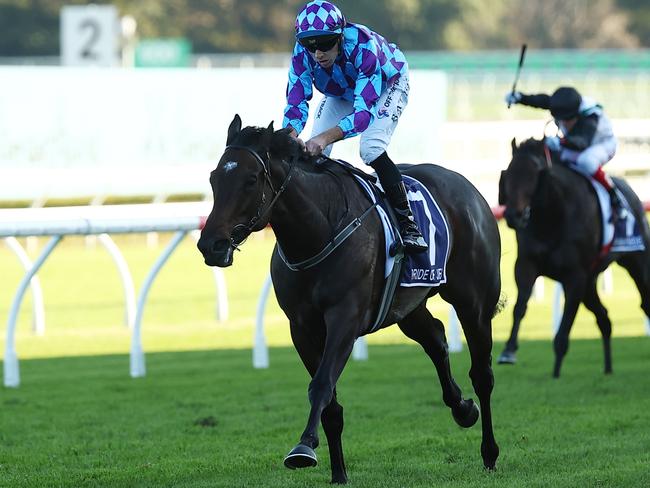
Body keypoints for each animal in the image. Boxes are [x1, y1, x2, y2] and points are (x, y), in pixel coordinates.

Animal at [197, 115, 502, 484]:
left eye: (251, 179)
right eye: (214, 177)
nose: (210, 245)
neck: (318, 231)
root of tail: (469, 189)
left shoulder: (345, 318)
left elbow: (321, 384)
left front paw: (303, 447)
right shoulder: (302, 328)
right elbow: (330, 404)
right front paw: (339, 474)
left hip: (474, 301)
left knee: (482, 373)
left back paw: (489, 452)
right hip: (407, 307)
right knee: (436, 338)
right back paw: (463, 408)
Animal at [496, 137, 648, 378]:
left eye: (533, 175)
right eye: (509, 174)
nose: (513, 216)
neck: (552, 217)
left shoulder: (575, 276)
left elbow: (565, 326)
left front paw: (556, 373)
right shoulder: (527, 265)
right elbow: (520, 306)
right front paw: (508, 351)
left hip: (637, 262)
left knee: (644, 302)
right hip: (590, 283)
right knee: (604, 318)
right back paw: (608, 368)